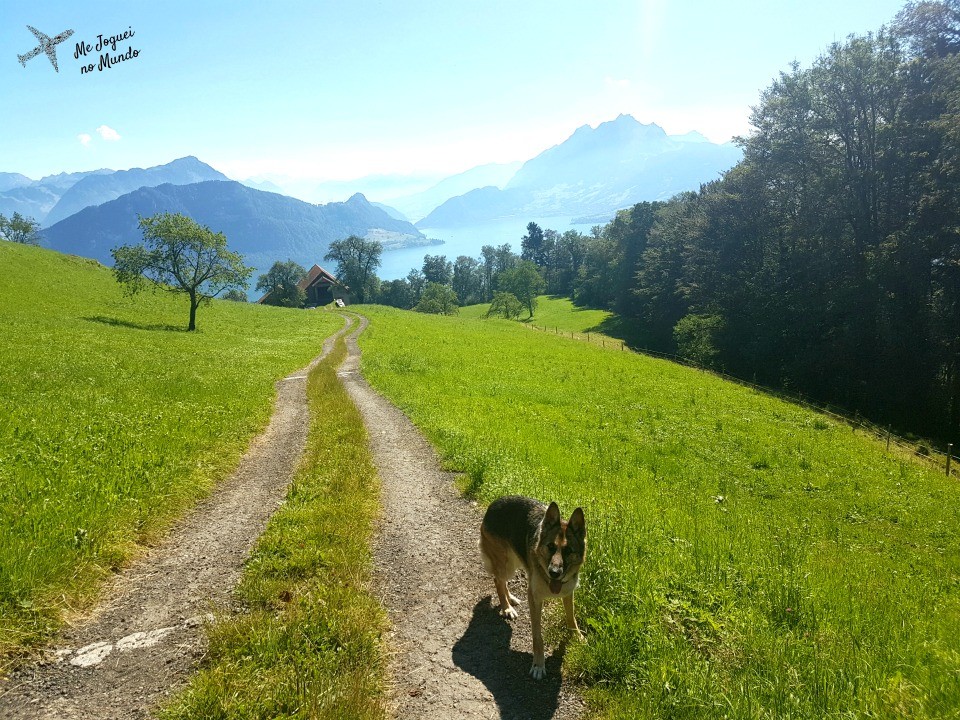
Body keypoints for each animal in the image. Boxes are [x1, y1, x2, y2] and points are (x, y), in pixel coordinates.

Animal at [480, 496, 584, 680]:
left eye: (568, 551)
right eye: (551, 547)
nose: (554, 573)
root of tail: (495, 502)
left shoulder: (568, 593)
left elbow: (571, 618)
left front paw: (577, 636)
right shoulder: (534, 599)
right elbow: (537, 637)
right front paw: (538, 664)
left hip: (514, 561)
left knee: (502, 582)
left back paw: (510, 599)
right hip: (506, 564)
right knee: (498, 581)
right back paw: (506, 607)